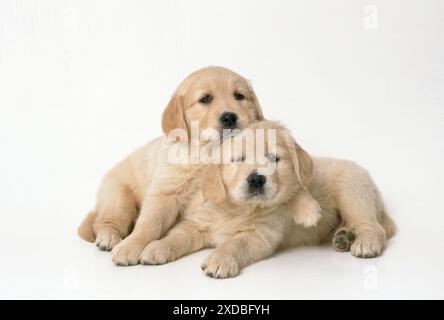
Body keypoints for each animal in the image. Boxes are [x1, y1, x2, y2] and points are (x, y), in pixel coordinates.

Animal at [77, 65, 264, 264]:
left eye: (239, 96)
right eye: (205, 99)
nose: (229, 117)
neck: (209, 151)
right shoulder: (165, 192)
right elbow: (149, 223)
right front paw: (132, 245)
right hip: (119, 197)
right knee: (105, 220)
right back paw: (109, 237)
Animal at [139, 120, 396, 278]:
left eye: (273, 158)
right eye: (238, 159)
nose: (256, 179)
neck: (238, 209)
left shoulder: (260, 236)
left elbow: (234, 244)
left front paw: (220, 259)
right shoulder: (197, 223)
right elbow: (177, 236)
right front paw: (157, 247)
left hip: (352, 191)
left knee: (372, 226)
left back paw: (365, 243)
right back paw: (343, 237)